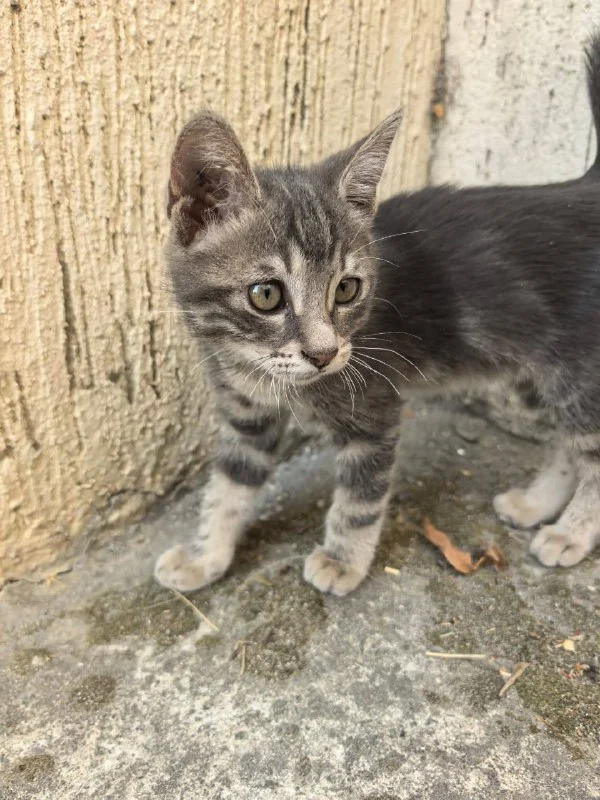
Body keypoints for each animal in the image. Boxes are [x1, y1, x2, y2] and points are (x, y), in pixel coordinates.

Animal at [155, 33, 600, 596]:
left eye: (347, 289)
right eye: (266, 295)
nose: (324, 355)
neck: (253, 367)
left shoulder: (374, 412)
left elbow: (360, 500)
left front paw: (342, 560)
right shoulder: (246, 416)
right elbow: (229, 487)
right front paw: (205, 556)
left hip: (578, 372)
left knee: (592, 450)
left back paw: (571, 532)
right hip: (535, 371)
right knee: (567, 442)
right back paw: (536, 503)